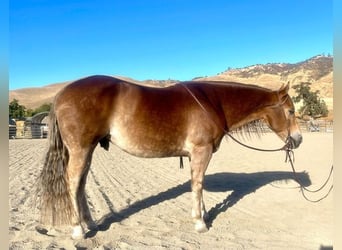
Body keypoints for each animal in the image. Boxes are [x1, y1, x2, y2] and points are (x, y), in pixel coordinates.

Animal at [35, 75, 302, 239]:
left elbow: (198, 184)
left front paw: (204, 214)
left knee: (80, 185)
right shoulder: (201, 150)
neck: (212, 102)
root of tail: (61, 94)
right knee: (72, 184)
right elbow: (198, 184)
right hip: (80, 150)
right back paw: (78, 230)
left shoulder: (198, 154)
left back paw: (90, 223)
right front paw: (200, 223)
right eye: (290, 111)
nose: (298, 139)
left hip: (87, 150)